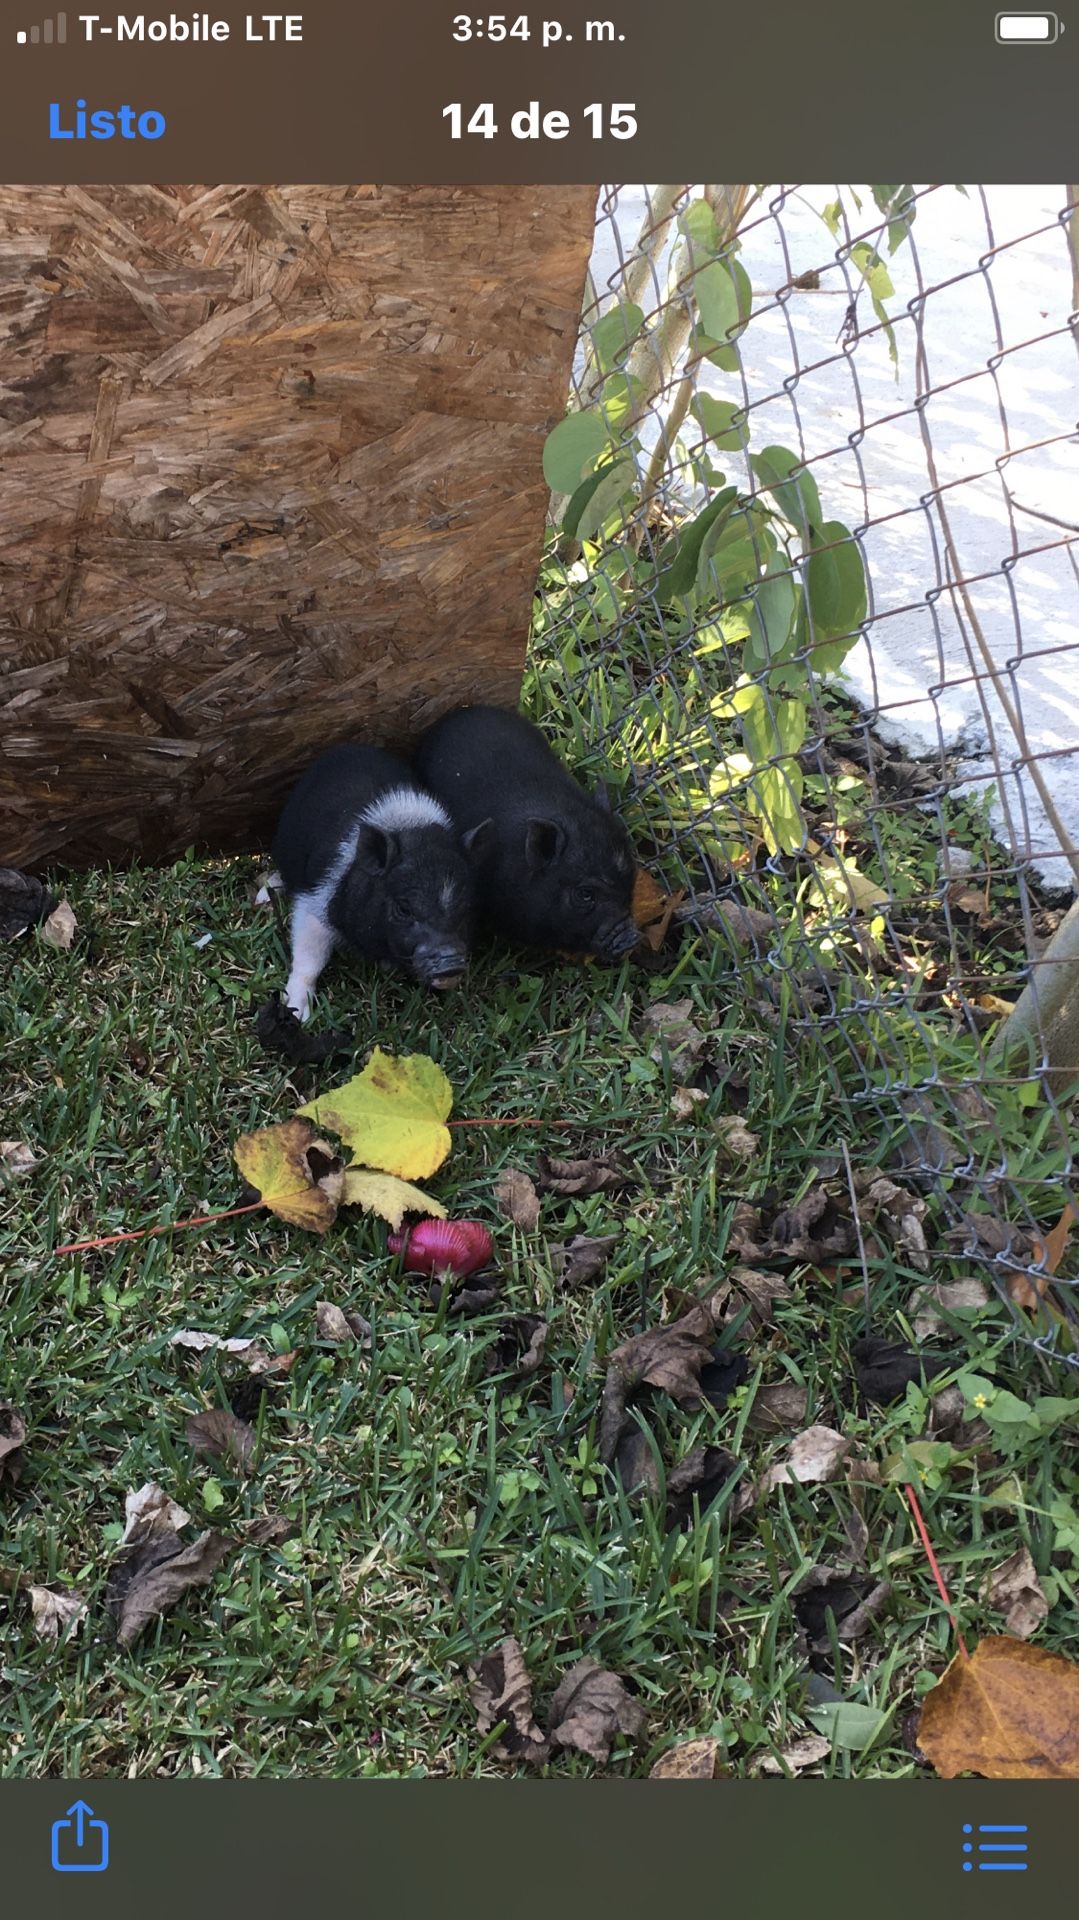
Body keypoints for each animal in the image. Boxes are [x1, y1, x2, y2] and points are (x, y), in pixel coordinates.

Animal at [264, 743, 476, 1020]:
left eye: (466, 909)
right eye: (403, 908)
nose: (450, 965)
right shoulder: (317, 898)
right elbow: (309, 954)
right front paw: (298, 1014)